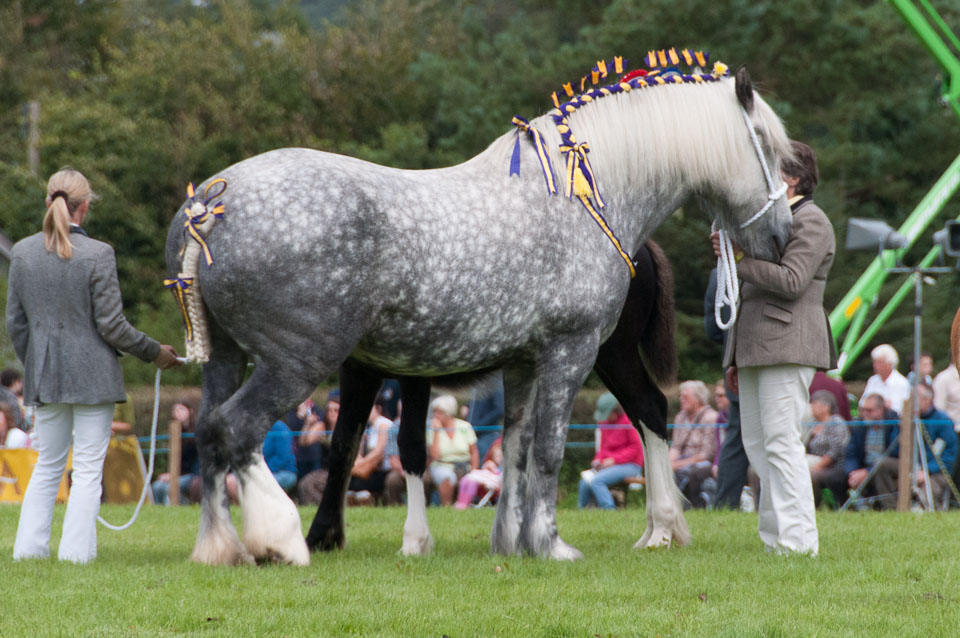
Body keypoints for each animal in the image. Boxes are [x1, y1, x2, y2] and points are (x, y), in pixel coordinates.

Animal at [167, 66, 796, 564]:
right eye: (764, 144)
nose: (783, 236)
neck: (583, 197)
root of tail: (208, 205)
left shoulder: (521, 361)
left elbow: (516, 447)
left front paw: (513, 542)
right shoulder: (570, 350)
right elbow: (546, 448)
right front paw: (550, 544)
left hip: (226, 357)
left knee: (209, 432)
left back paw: (218, 547)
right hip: (297, 362)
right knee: (234, 429)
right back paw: (280, 540)